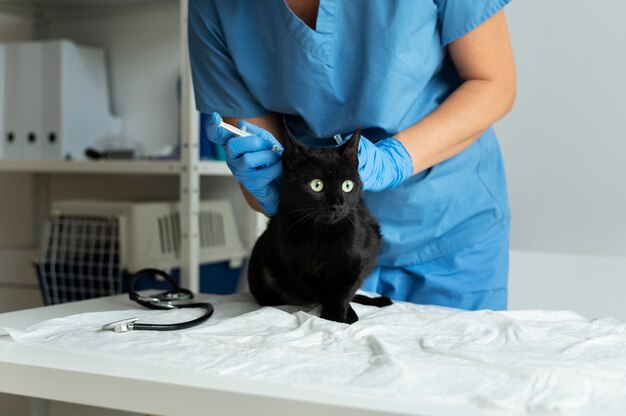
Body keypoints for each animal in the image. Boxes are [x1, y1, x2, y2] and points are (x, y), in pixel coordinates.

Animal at [245, 125, 388, 324]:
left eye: (347, 186)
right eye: (316, 185)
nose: (337, 205)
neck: (324, 233)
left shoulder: (362, 257)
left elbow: (344, 291)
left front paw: (340, 316)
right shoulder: (299, 267)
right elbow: (324, 292)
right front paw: (336, 317)